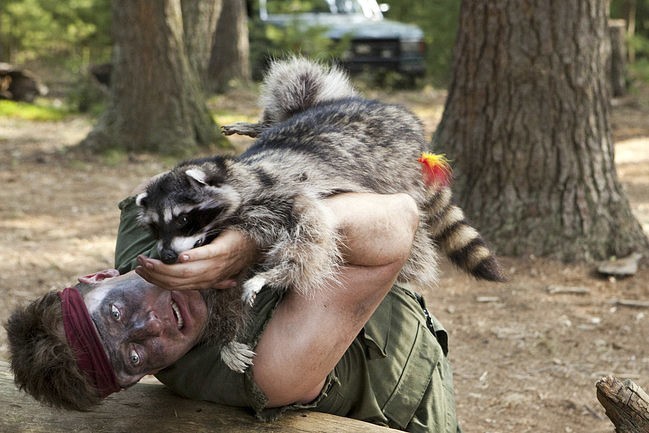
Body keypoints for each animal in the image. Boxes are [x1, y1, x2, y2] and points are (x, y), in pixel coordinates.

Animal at [134, 56, 504, 372]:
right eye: (155, 228)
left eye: (183, 219)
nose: (166, 256)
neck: (239, 177)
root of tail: (407, 124)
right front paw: (226, 336)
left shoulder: (280, 194)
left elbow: (311, 229)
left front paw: (274, 275)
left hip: (394, 169)